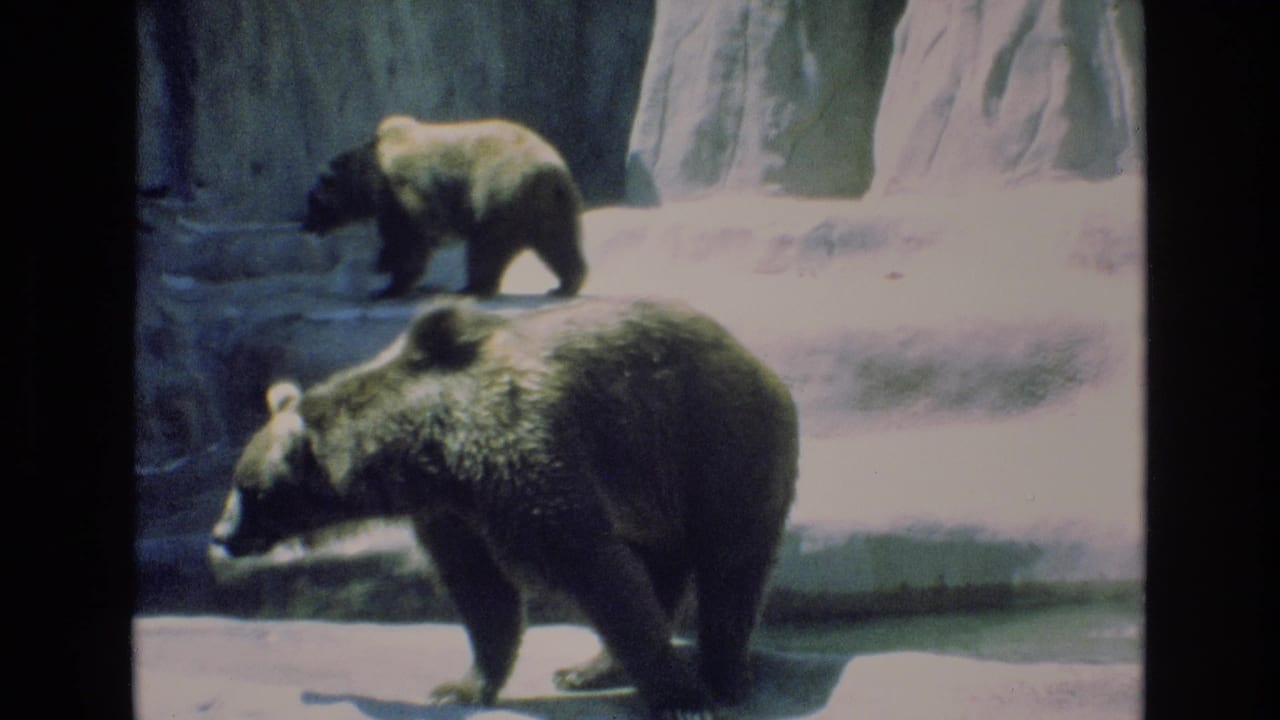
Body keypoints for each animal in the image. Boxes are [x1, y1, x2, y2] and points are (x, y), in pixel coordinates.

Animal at [211, 297, 798, 720]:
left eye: (246, 488)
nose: (219, 534)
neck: (429, 449)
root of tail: (758, 361)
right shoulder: (453, 511)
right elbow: (481, 591)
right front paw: (459, 686)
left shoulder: (522, 459)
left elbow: (591, 568)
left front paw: (681, 700)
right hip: (650, 484)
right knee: (662, 563)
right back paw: (587, 669)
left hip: (715, 446)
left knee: (731, 564)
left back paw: (722, 675)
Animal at [302, 114, 587, 300]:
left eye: (312, 200)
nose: (305, 224)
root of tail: (551, 169)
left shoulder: (404, 188)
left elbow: (409, 234)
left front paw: (388, 283)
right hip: (550, 204)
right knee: (558, 241)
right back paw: (566, 284)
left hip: (498, 191)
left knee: (488, 244)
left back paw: (473, 287)